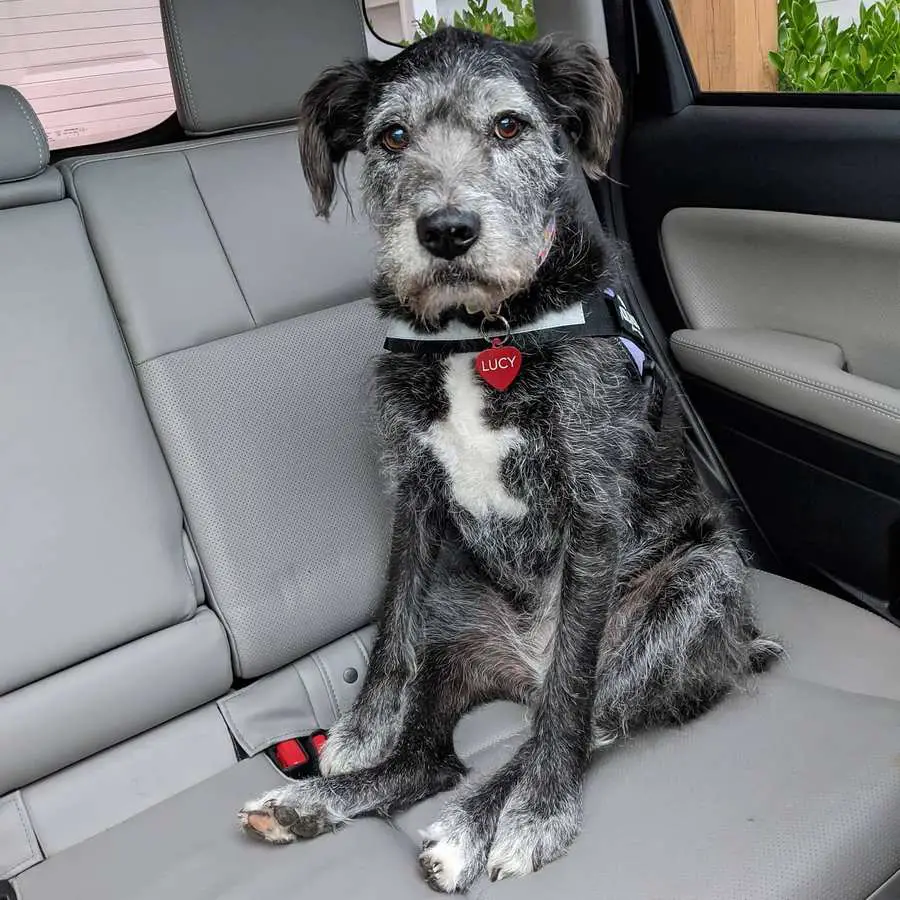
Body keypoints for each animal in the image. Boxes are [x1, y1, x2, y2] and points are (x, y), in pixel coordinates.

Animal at [241, 24, 780, 888]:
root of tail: (522, 666)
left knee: (575, 720)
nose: (447, 231)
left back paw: (478, 822)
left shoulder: (593, 510)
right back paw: (313, 804)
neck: (482, 330)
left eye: (508, 126)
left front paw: (538, 815)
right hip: (455, 617)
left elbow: (571, 698)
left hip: (694, 590)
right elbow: (391, 616)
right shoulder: (415, 494)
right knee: (431, 759)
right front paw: (361, 728)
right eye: (392, 136)